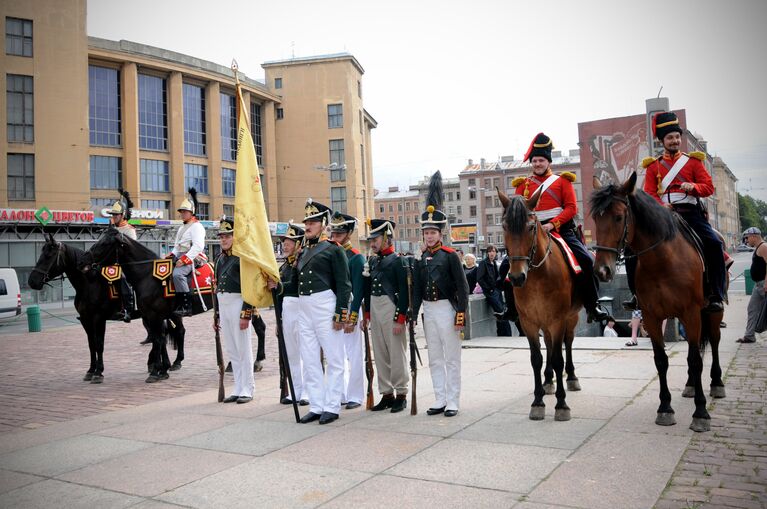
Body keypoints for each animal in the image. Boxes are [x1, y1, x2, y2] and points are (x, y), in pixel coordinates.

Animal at [27, 233, 162, 380]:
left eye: (48, 256)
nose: (32, 281)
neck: (89, 283)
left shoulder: (99, 318)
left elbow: (99, 344)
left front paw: (98, 372)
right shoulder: (86, 320)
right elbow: (91, 344)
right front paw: (91, 370)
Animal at [82, 226, 210, 380]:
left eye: (105, 243)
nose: (83, 260)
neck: (147, 276)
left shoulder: (154, 315)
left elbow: (158, 340)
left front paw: (156, 371)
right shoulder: (151, 315)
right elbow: (158, 339)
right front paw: (161, 369)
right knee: (180, 331)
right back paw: (177, 362)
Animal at [498, 189, 584, 418]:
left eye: (530, 227)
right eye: (505, 227)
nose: (516, 277)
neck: (536, 276)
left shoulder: (558, 319)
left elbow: (558, 358)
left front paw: (561, 404)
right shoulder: (528, 322)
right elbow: (536, 358)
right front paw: (538, 401)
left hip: (571, 317)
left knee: (567, 343)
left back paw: (571, 377)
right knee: (550, 344)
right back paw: (548, 381)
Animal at [592, 173, 724, 430]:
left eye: (619, 216)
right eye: (594, 218)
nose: (602, 270)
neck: (663, 261)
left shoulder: (691, 313)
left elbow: (695, 360)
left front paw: (701, 412)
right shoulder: (651, 317)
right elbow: (661, 360)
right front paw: (665, 408)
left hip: (712, 312)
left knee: (713, 342)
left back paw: (716, 383)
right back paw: (690, 385)